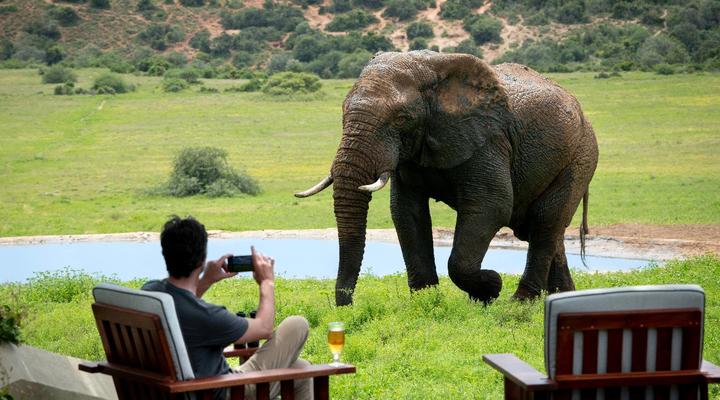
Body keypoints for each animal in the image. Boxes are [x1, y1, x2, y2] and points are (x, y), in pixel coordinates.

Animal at [296, 50, 598, 306]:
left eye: (401, 118)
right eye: (343, 113)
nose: (346, 306)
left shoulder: (487, 140)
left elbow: (492, 207)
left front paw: (490, 287)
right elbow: (406, 212)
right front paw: (425, 302)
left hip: (580, 157)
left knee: (546, 222)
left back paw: (520, 303)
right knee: (543, 229)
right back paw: (564, 297)